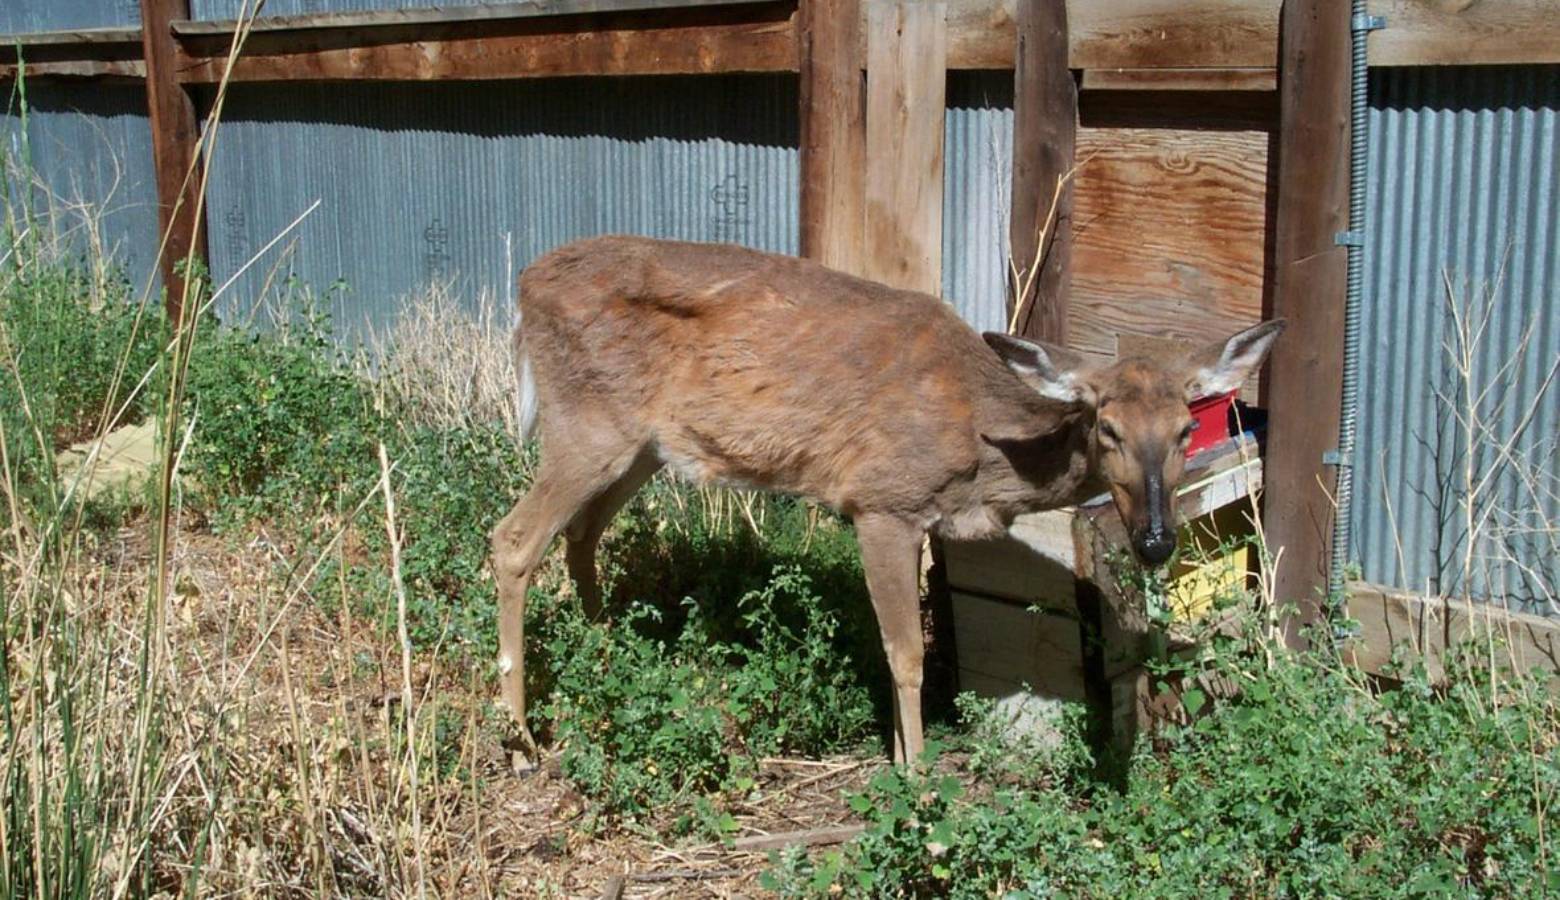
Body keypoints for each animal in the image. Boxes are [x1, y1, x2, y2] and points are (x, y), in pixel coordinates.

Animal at [492, 233, 1285, 764]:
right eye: (1108, 427)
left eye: (1185, 430)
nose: (1155, 540)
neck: (981, 447)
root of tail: (523, 287)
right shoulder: (881, 502)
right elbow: (906, 654)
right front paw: (917, 777)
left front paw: (905, 756)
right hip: (586, 423)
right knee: (513, 540)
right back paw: (524, 738)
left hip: (641, 446)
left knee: (580, 535)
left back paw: (609, 657)